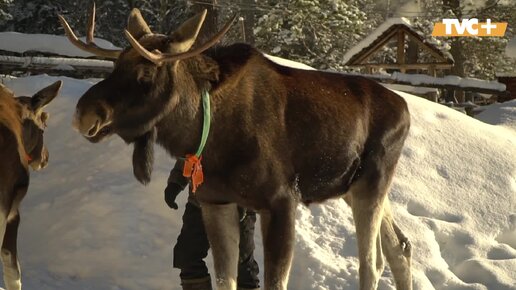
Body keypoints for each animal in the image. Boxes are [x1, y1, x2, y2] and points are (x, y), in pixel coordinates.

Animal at [58, 6, 412, 290]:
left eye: (147, 72)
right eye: (116, 65)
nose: (84, 114)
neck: (206, 137)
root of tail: (406, 109)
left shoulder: (282, 201)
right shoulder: (216, 202)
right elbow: (224, 279)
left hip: (371, 184)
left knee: (372, 264)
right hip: (357, 188)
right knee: (400, 248)